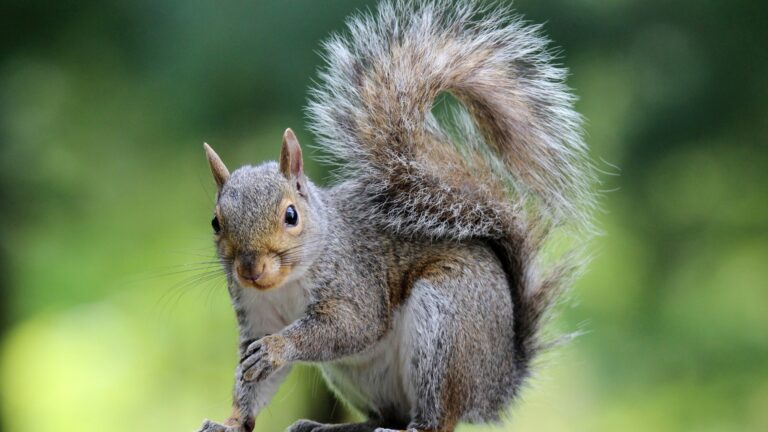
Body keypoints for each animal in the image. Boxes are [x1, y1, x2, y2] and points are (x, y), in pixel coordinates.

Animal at [196, 1, 595, 432]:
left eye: (291, 215)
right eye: (216, 222)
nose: (250, 269)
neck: (286, 283)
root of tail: (498, 381)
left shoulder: (356, 281)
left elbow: (351, 326)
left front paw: (278, 347)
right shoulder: (255, 316)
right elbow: (252, 383)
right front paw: (231, 422)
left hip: (445, 326)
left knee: (436, 418)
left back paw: (415, 424)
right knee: (386, 414)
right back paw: (328, 425)